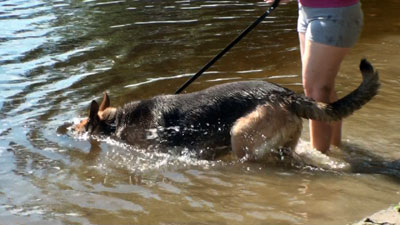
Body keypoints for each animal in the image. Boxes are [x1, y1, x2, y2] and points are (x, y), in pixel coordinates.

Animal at [76, 59, 380, 161]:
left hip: (241, 135)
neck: (118, 122)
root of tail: (286, 94)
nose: (69, 130)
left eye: (80, 126)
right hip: (285, 144)